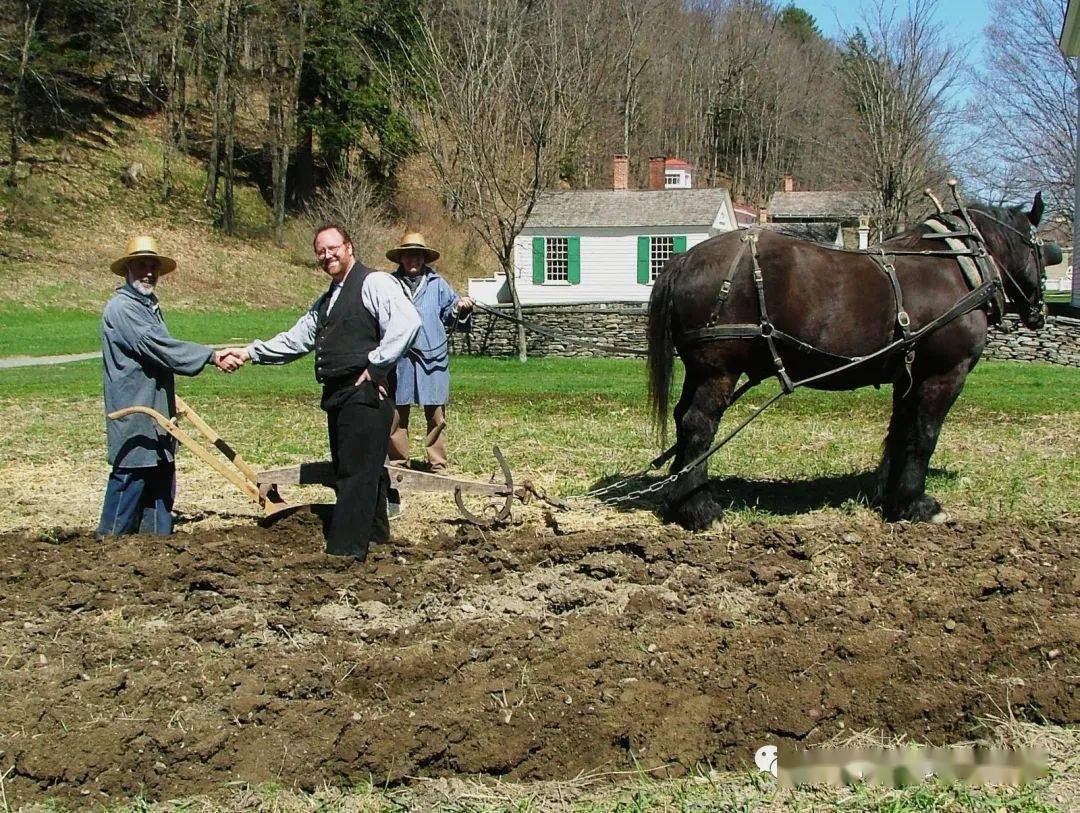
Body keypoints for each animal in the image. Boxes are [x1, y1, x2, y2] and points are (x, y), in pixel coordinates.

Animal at [643, 193, 1049, 529]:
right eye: (1042, 248)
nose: (1039, 312)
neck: (957, 267)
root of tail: (684, 259)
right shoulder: (944, 374)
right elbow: (924, 436)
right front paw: (917, 504)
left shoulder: (909, 376)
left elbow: (899, 432)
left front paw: (888, 498)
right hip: (719, 370)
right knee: (699, 424)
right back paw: (699, 508)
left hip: (699, 370)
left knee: (682, 420)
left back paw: (677, 499)